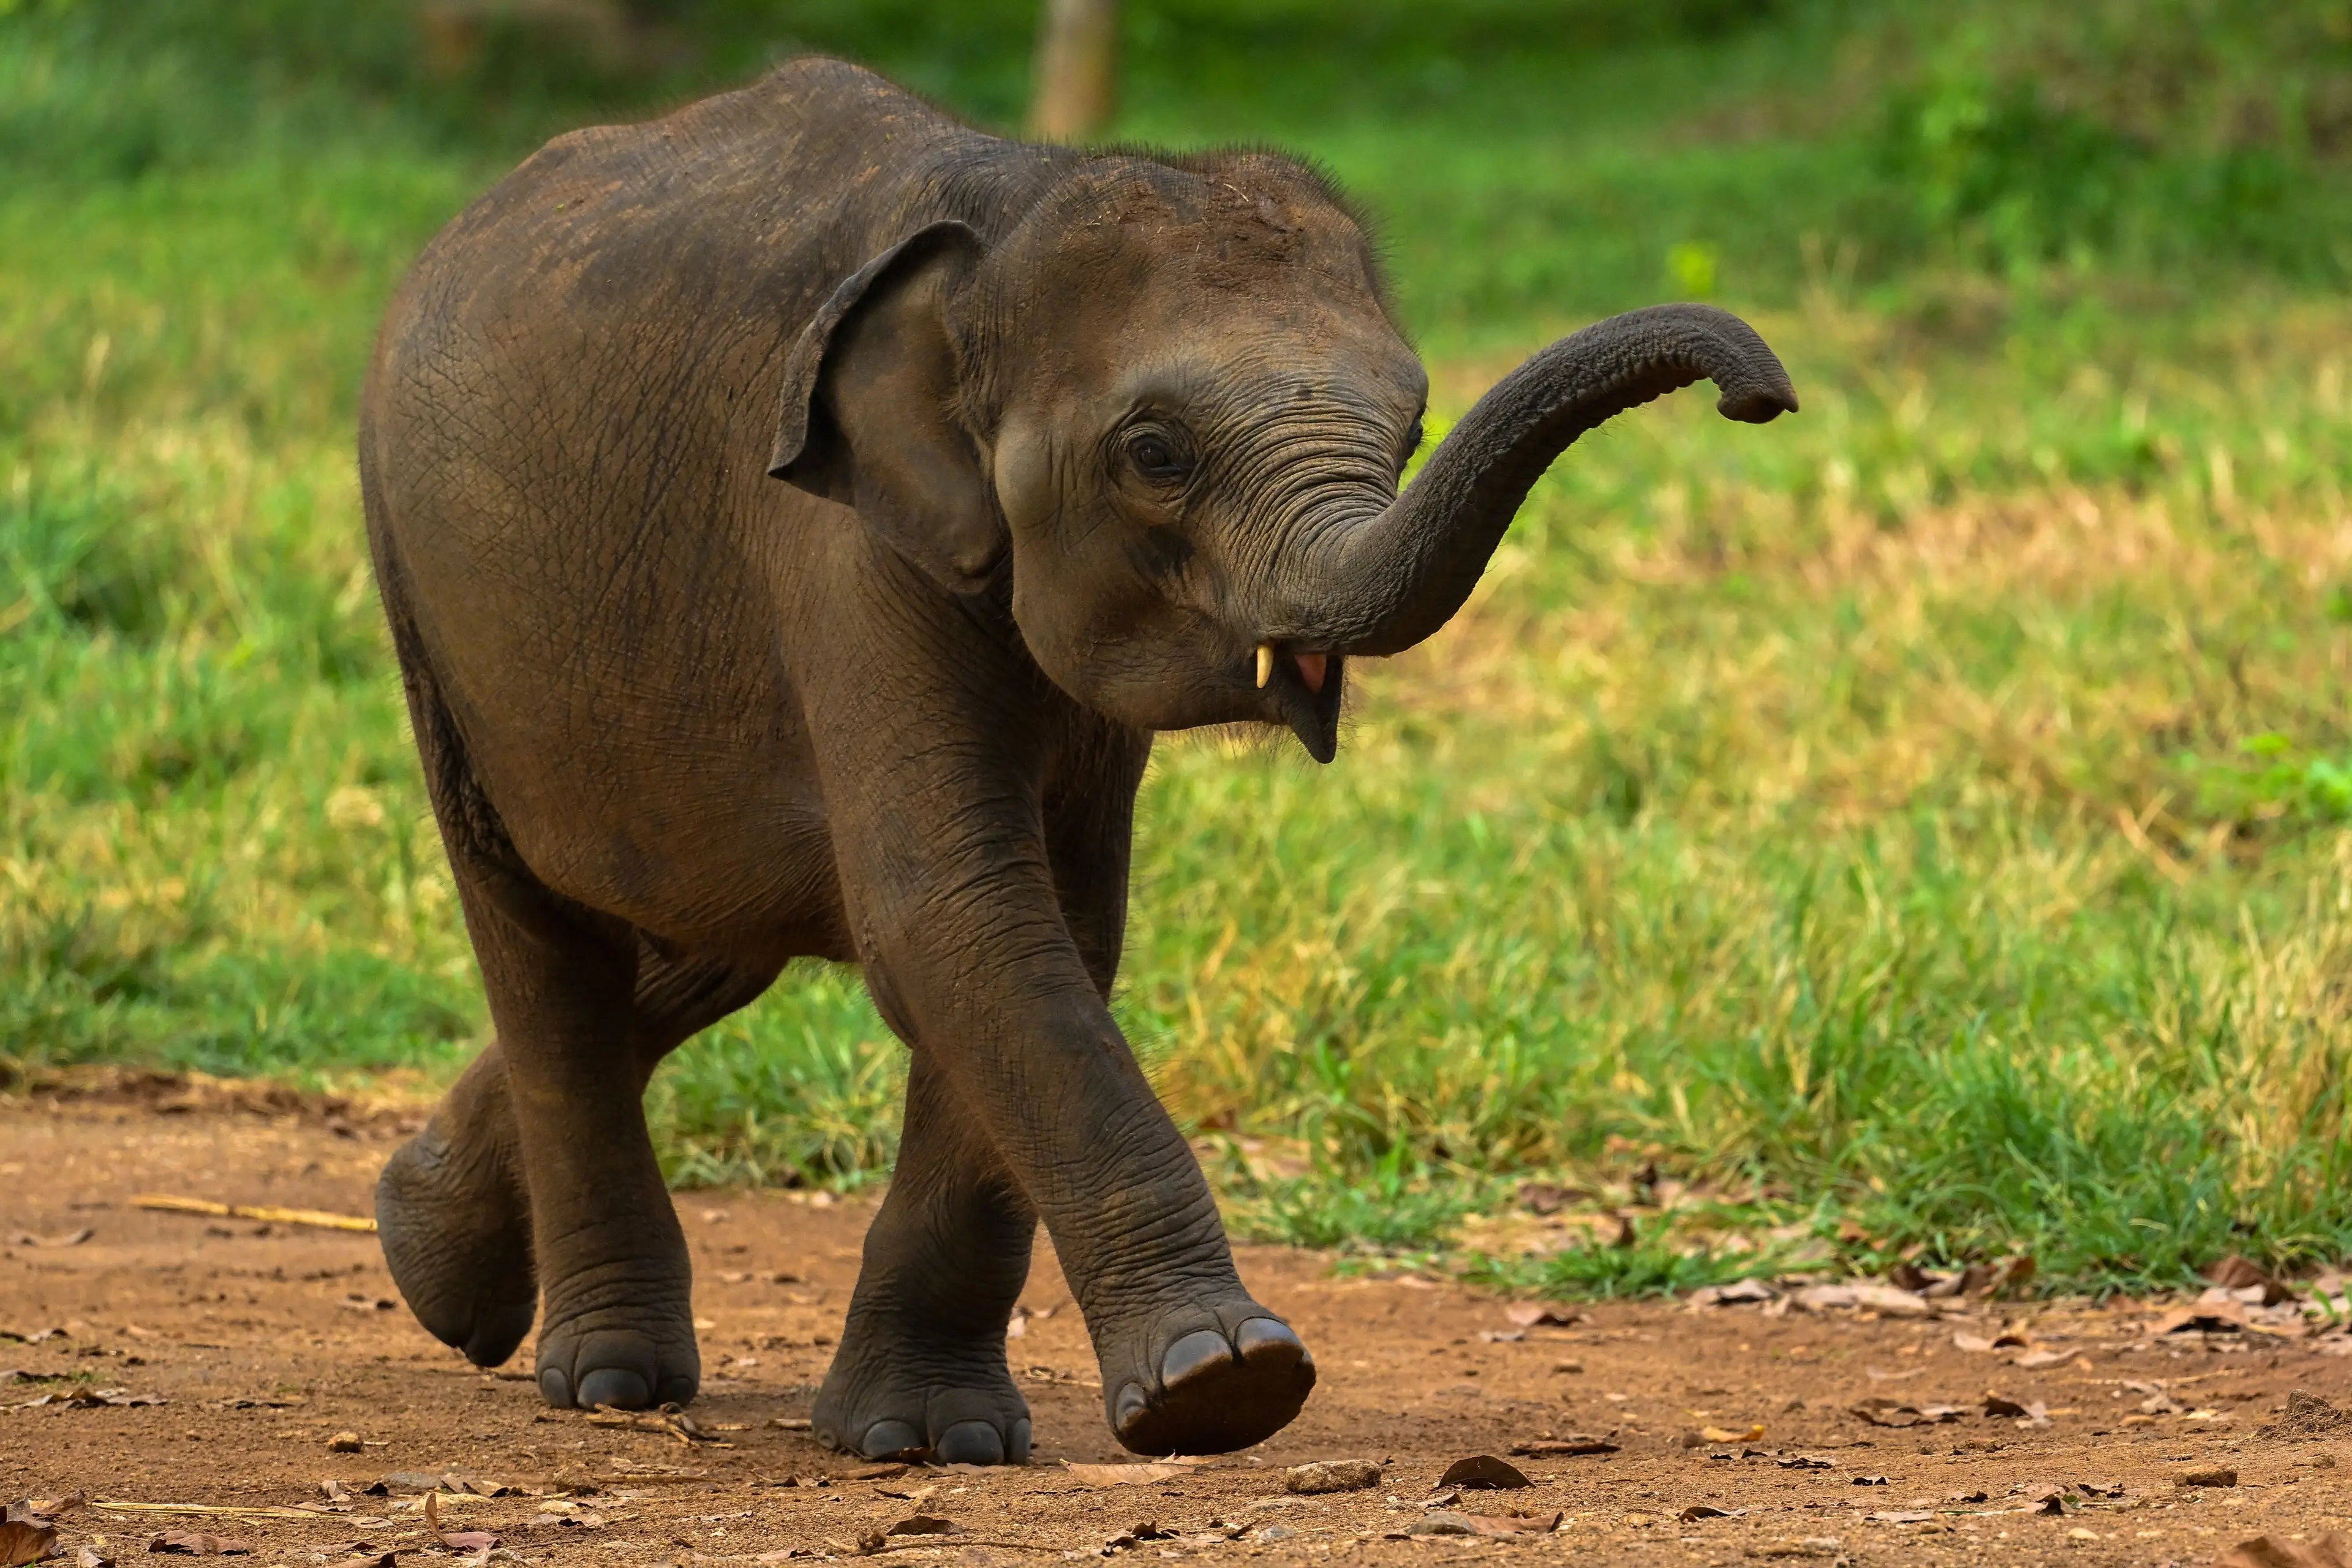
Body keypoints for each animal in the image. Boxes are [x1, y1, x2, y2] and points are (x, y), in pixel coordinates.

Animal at [358, 54, 1795, 1466]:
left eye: (1414, 423)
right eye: (1155, 452)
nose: (1762, 395)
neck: (1002, 223)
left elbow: (1053, 928)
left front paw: (929, 1439)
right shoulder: (842, 550)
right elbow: (958, 919)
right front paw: (1227, 1385)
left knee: (706, 935)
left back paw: (427, 1254)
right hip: (426, 601)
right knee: (545, 939)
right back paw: (607, 1380)